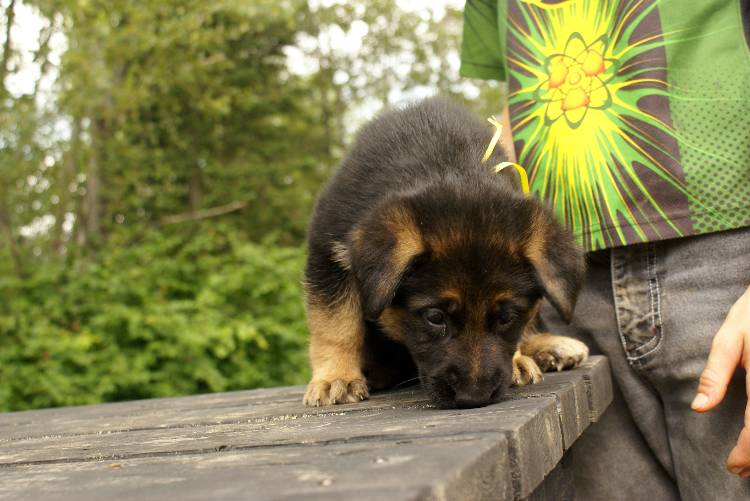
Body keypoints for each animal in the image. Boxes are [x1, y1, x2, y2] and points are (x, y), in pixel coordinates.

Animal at [302, 96, 592, 406]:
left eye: (506, 317)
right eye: (435, 317)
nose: (474, 397)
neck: (449, 167)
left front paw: (516, 359)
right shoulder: (328, 251)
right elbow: (335, 324)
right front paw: (336, 377)